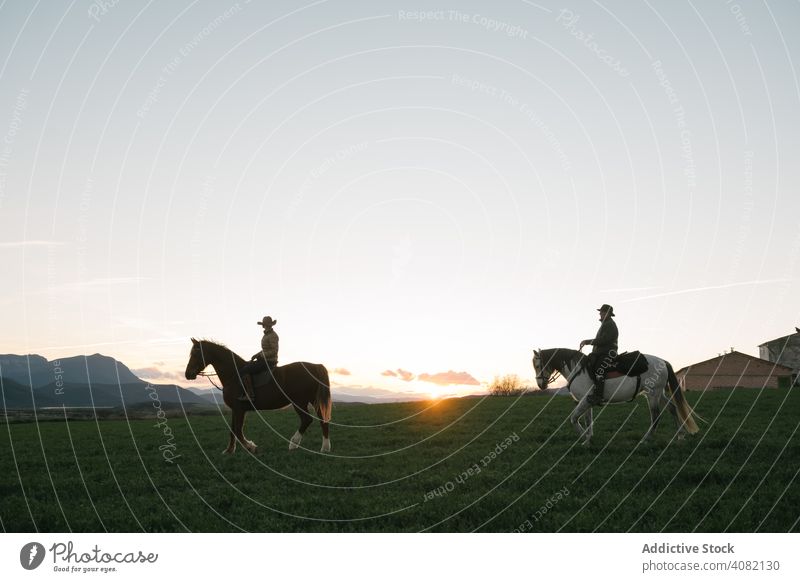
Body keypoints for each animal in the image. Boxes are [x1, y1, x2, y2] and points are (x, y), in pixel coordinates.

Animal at [184, 338, 332, 456]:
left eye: (196, 353)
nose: (187, 374)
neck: (234, 374)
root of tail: (315, 366)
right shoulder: (235, 409)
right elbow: (232, 430)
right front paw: (229, 450)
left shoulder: (240, 409)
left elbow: (238, 431)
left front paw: (251, 447)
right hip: (312, 400)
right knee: (322, 420)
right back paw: (325, 447)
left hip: (299, 402)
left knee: (307, 420)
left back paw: (293, 443)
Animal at [536, 350, 696, 450]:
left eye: (538, 365)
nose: (540, 385)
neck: (578, 370)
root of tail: (663, 361)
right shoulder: (587, 401)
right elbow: (588, 421)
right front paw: (588, 440)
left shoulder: (585, 400)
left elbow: (574, 418)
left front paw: (584, 438)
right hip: (659, 394)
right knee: (673, 408)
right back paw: (680, 436)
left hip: (652, 395)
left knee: (656, 416)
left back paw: (645, 439)